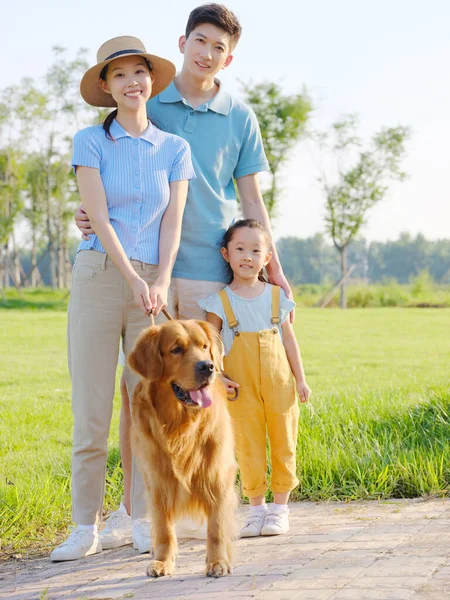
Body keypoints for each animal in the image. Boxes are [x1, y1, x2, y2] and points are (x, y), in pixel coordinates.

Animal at [128, 318, 237, 576]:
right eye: (176, 349)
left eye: (205, 346)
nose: (207, 366)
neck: (180, 424)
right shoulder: (157, 481)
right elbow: (164, 529)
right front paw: (163, 561)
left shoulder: (217, 474)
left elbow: (216, 526)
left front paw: (217, 561)